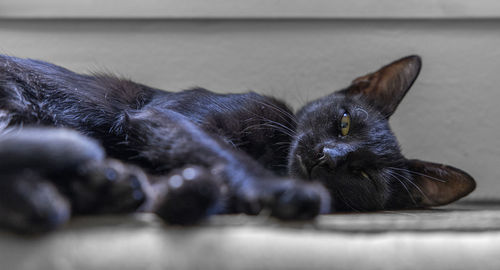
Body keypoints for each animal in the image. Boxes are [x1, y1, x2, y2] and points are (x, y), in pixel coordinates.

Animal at [0, 53, 476, 233]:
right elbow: (223, 154)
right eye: (344, 125)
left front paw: (180, 194)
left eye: (362, 174)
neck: (274, 155)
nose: (328, 157)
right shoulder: (168, 116)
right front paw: (281, 191)